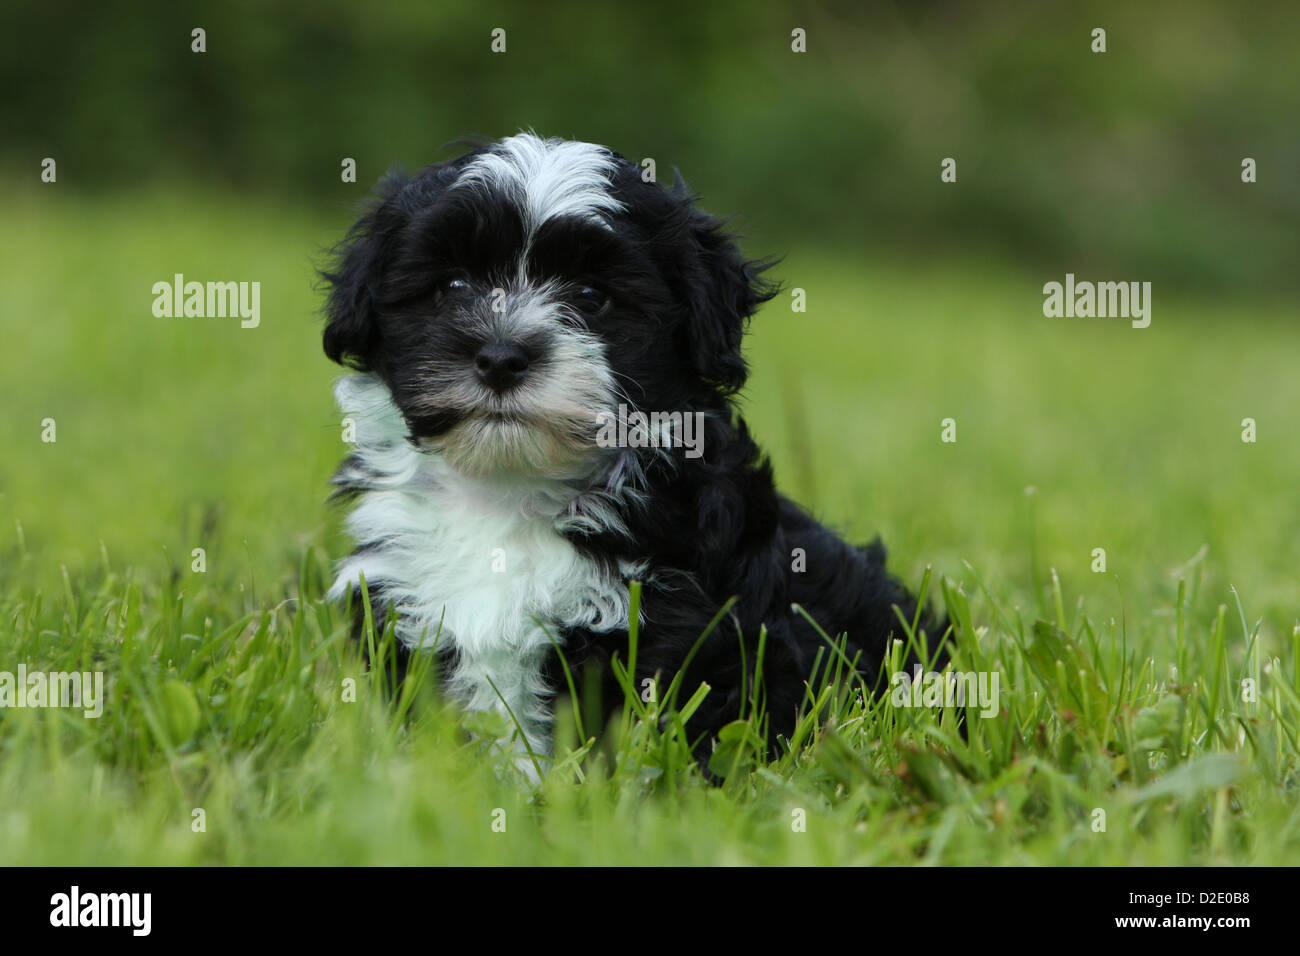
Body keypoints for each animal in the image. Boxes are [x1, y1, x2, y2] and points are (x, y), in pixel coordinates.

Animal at [319, 132, 941, 780]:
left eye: (593, 296)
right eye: (453, 287)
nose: (501, 356)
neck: (511, 491)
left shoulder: (679, 632)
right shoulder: (399, 599)